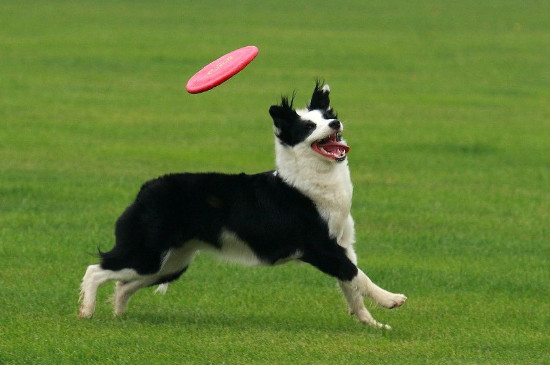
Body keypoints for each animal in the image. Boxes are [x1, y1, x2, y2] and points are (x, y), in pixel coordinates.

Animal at [81, 81, 410, 328]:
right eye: (307, 126)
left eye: (328, 115)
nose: (335, 122)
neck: (311, 181)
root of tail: (145, 189)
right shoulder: (319, 247)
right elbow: (355, 274)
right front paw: (391, 299)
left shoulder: (343, 244)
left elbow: (351, 286)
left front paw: (371, 324)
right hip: (148, 252)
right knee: (95, 270)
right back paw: (86, 312)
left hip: (171, 263)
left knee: (123, 284)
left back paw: (119, 314)